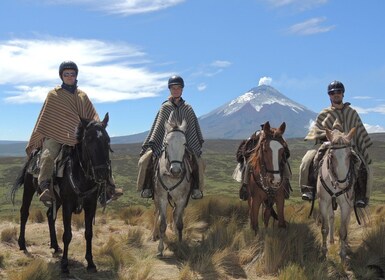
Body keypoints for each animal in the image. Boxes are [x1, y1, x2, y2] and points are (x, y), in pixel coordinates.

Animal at [152, 118, 190, 258]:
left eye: (184, 144)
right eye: (166, 144)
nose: (176, 170)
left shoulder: (182, 199)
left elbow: (179, 223)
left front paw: (180, 247)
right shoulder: (162, 198)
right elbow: (162, 223)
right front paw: (160, 250)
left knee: (174, 214)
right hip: (156, 198)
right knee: (157, 213)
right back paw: (154, 235)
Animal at [316, 126, 356, 262]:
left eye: (350, 155)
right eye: (331, 156)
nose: (343, 184)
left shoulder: (345, 204)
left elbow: (343, 230)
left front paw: (342, 253)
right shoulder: (323, 202)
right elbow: (324, 228)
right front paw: (323, 251)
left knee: (347, 222)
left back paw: (346, 243)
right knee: (331, 218)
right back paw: (332, 240)